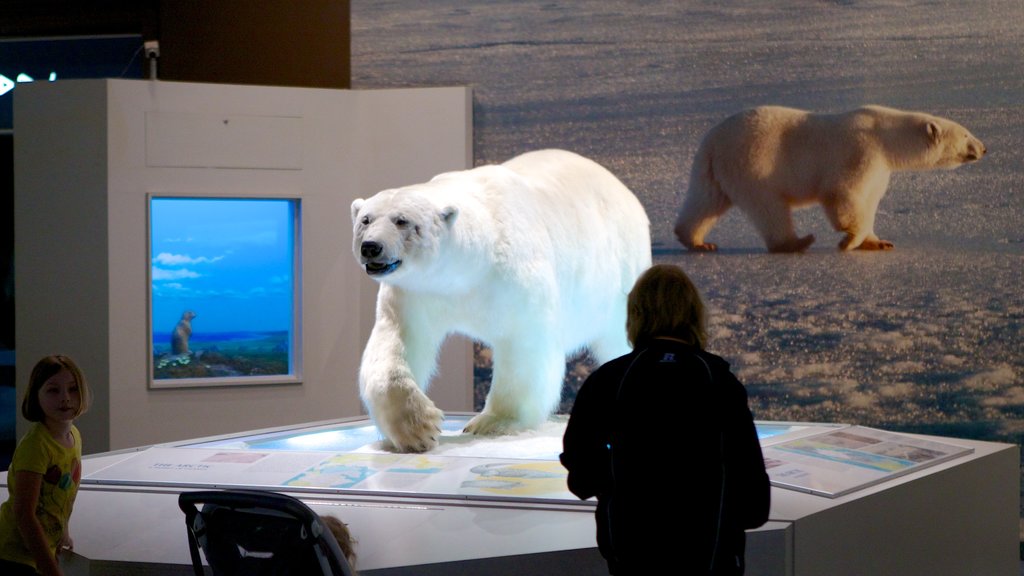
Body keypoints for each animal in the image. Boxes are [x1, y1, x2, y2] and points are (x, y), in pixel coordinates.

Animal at [352, 148, 651, 453]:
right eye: (365, 219)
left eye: (402, 220)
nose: (371, 247)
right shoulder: (416, 291)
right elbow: (396, 341)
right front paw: (418, 428)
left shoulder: (512, 275)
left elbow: (522, 342)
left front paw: (493, 422)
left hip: (620, 271)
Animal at [675, 105, 987, 251]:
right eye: (966, 134)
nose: (984, 148)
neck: (884, 135)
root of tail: (712, 141)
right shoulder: (861, 151)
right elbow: (842, 194)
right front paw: (848, 241)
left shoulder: (880, 168)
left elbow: (869, 200)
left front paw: (878, 242)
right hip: (753, 165)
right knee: (769, 207)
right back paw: (796, 242)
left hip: (714, 169)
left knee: (705, 202)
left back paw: (697, 241)